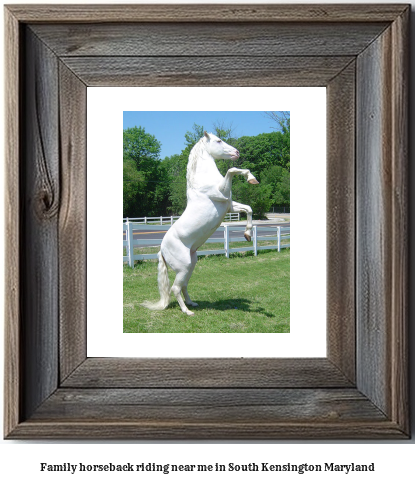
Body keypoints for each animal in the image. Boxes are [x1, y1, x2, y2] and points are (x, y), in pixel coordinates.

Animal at [144, 132, 260, 316]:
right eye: (218, 141)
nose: (237, 152)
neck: (203, 181)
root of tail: (161, 249)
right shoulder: (223, 194)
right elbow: (232, 170)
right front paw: (251, 178)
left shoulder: (229, 205)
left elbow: (248, 209)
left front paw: (248, 234)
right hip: (183, 267)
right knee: (175, 288)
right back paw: (187, 311)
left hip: (192, 264)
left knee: (184, 285)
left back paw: (192, 303)